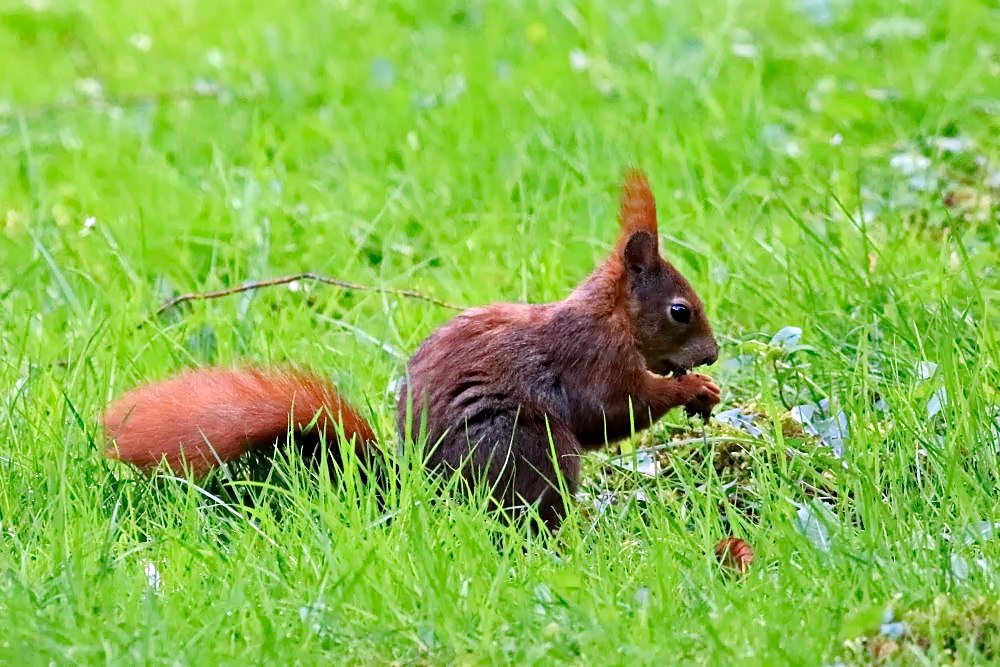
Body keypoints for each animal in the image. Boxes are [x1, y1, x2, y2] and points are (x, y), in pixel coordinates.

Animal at [103, 171, 720, 532]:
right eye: (680, 311)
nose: (713, 355)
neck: (611, 316)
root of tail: (425, 491)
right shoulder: (590, 356)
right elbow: (612, 409)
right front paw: (692, 388)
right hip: (525, 450)